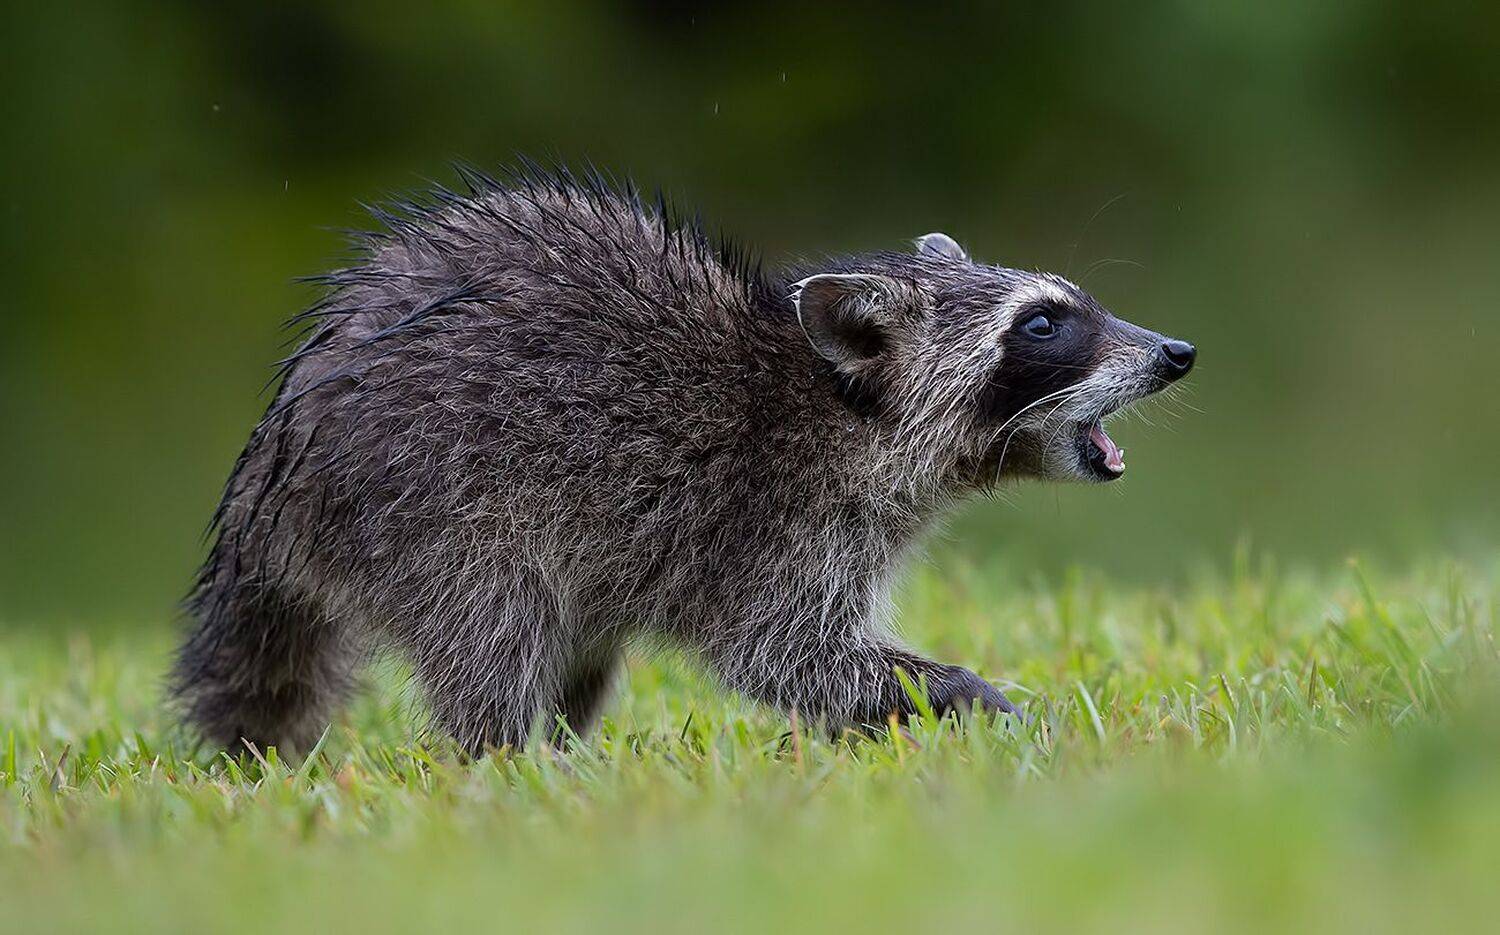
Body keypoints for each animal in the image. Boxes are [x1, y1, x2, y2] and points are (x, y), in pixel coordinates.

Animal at [172, 164, 1194, 754]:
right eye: (1043, 325)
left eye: (1068, 305)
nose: (1176, 352)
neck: (836, 407)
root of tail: (275, 463)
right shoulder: (772, 519)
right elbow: (785, 654)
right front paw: (958, 694)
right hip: (431, 503)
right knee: (493, 631)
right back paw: (507, 760)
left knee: (573, 647)